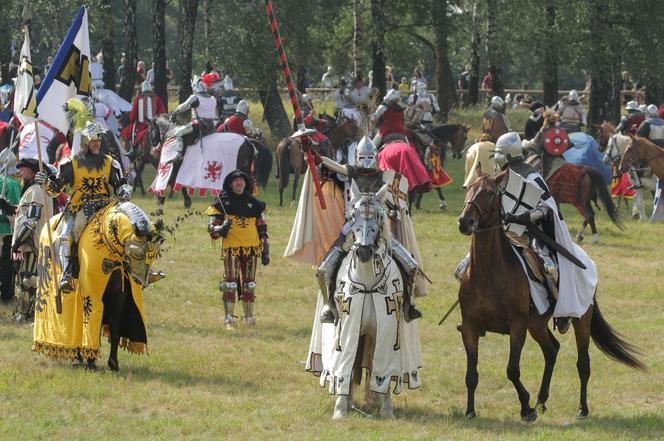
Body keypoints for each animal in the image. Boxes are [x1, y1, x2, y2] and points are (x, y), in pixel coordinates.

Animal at [456, 168, 644, 420]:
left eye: (489, 192)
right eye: (468, 188)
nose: (464, 222)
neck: (487, 273)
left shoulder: (517, 326)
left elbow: (512, 370)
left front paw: (526, 409)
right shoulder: (470, 327)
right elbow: (471, 374)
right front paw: (470, 411)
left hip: (581, 319)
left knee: (583, 363)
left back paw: (581, 409)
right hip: (536, 324)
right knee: (552, 350)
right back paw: (542, 400)